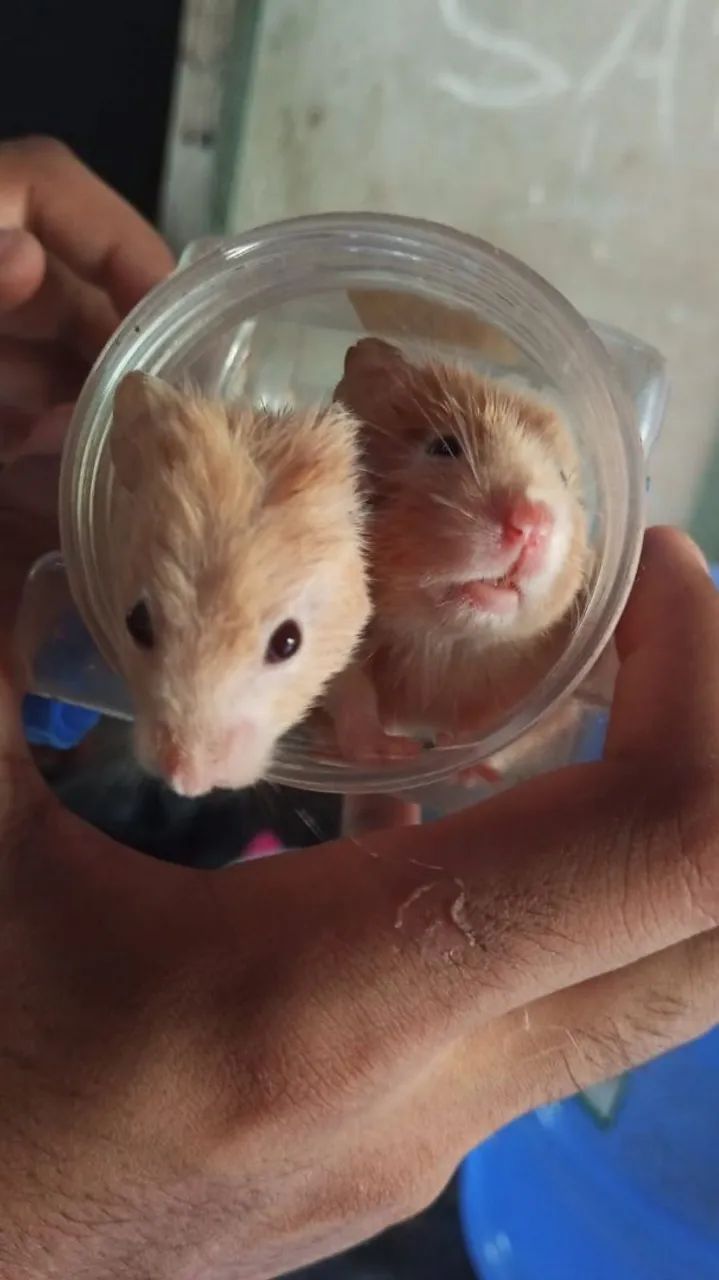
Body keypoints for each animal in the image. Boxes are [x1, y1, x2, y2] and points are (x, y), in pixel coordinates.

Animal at [322, 338, 591, 774]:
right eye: (444, 446)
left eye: (564, 477)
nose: (533, 524)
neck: (444, 646)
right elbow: (346, 690)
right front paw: (392, 753)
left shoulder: (556, 694)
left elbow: (523, 731)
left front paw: (463, 754)